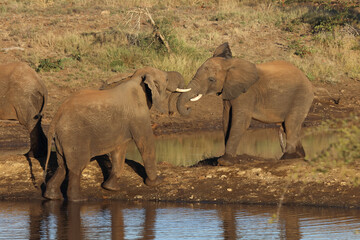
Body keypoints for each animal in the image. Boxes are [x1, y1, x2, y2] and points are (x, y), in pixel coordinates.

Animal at [42, 65, 191, 201]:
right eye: (166, 79)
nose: (171, 113)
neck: (137, 78)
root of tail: (55, 118)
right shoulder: (138, 113)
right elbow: (145, 141)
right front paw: (157, 182)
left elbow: (119, 148)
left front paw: (111, 188)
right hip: (74, 135)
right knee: (76, 167)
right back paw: (78, 199)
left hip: (63, 138)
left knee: (62, 165)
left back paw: (51, 196)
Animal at [177, 42, 316, 165]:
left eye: (211, 79)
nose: (188, 108)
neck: (229, 64)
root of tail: (307, 79)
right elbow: (226, 119)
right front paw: (226, 159)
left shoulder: (247, 94)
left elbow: (240, 121)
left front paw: (224, 162)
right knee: (288, 126)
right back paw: (299, 156)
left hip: (302, 95)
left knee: (290, 124)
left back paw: (287, 158)